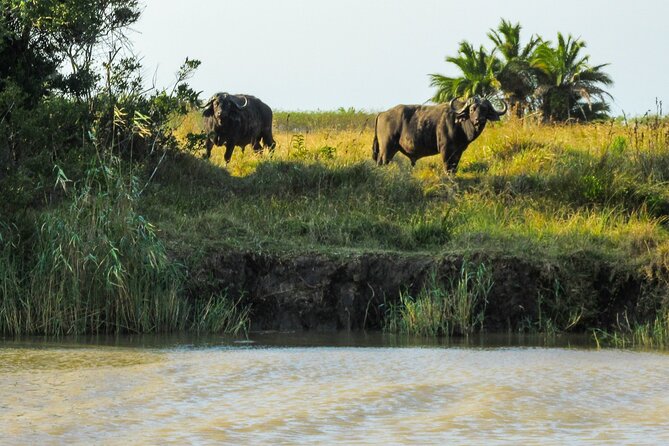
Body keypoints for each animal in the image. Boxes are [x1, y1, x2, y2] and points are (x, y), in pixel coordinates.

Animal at [370, 96, 506, 172]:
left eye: (485, 109)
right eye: (472, 109)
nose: (479, 120)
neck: (459, 123)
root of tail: (382, 113)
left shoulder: (458, 152)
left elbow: (454, 168)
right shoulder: (446, 150)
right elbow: (447, 167)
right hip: (386, 149)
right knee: (381, 162)